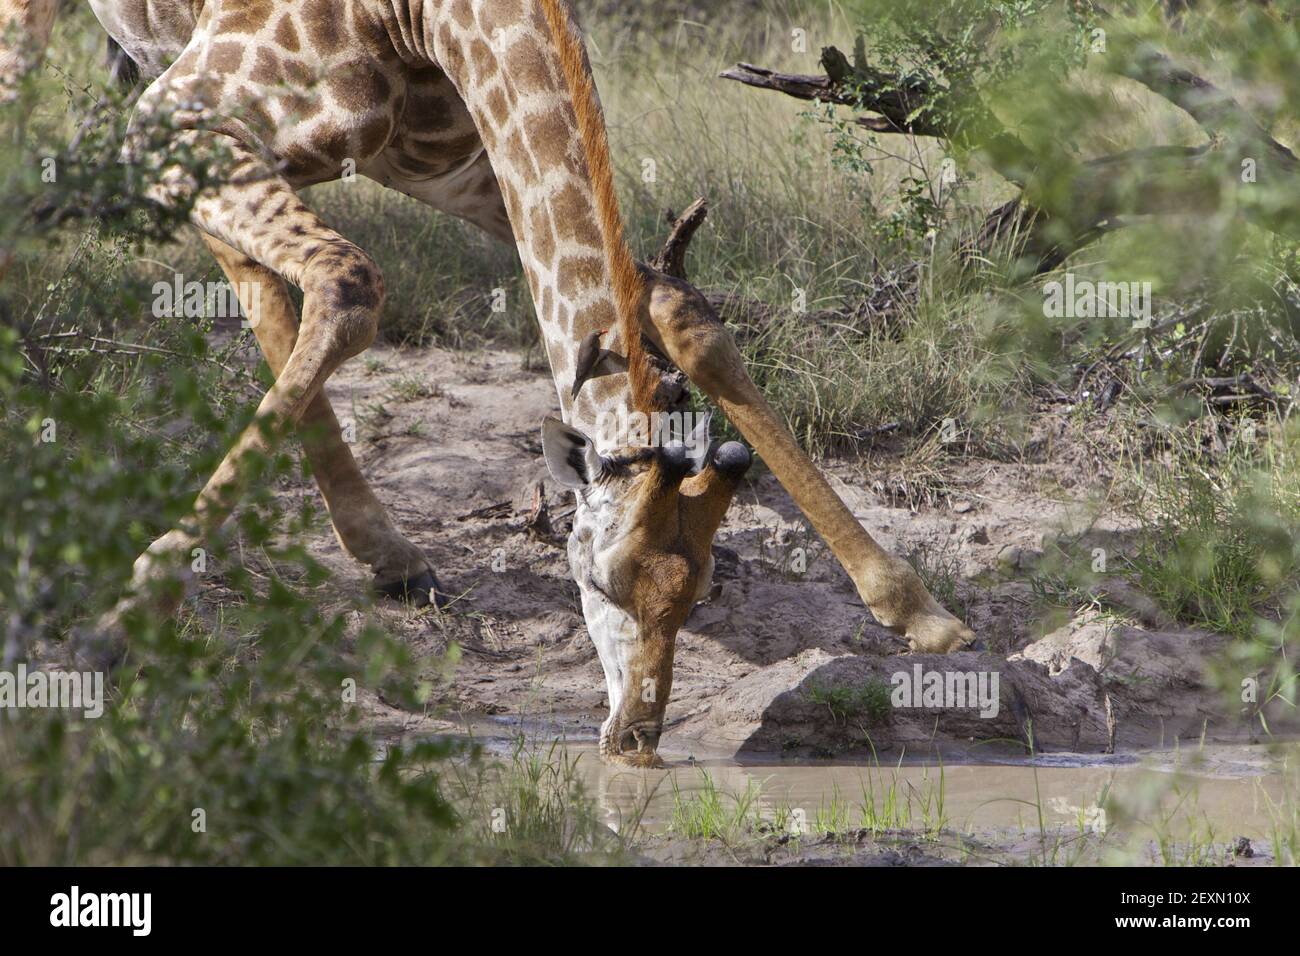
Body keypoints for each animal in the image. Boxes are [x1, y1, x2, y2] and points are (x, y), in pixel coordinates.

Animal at [2, 0, 977, 764]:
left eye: (700, 590)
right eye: (601, 581)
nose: (635, 739)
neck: (425, 20)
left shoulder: (458, 161)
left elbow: (679, 315)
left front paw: (922, 613)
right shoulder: (180, 112)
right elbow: (352, 286)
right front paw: (110, 628)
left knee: (249, 271)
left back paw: (390, 553)